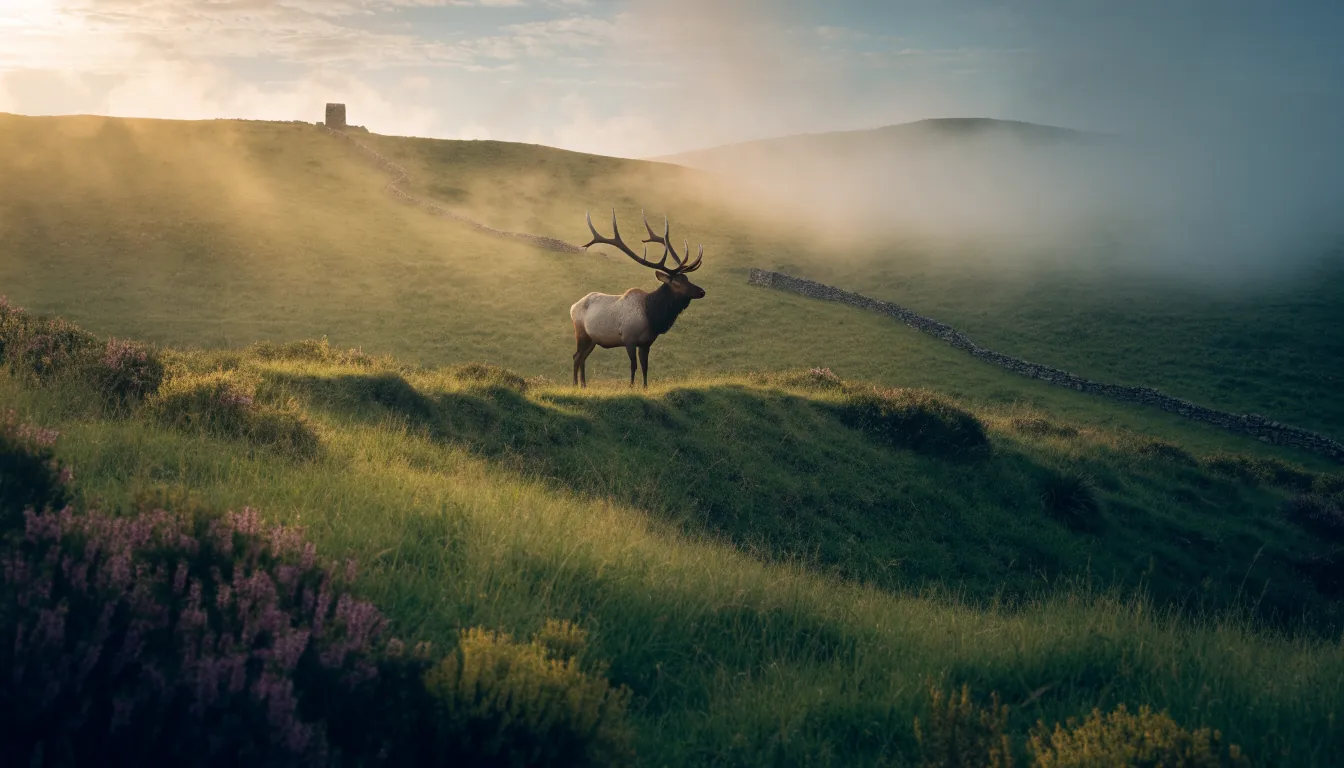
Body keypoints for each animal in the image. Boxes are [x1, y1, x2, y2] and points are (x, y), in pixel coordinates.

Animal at [570, 209, 706, 389]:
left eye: (687, 279)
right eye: (678, 282)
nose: (702, 291)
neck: (652, 317)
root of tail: (572, 307)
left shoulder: (647, 342)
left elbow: (645, 366)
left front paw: (645, 387)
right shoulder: (629, 338)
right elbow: (633, 365)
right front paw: (631, 386)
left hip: (592, 339)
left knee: (583, 358)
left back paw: (584, 385)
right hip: (581, 332)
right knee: (576, 356)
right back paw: (574, 384)